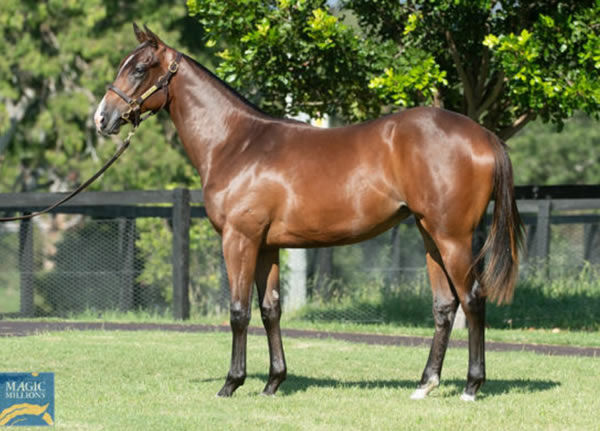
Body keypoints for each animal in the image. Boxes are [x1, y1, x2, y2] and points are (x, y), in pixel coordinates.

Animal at [94, 23, 520, 402]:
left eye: (138, 69)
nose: (102, 118)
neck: (238, 143)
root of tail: (484, 135)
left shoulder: (239, 239)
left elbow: (238, 312)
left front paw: (232, 383)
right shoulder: (266, 246)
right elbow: (270, 310)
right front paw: (272, 383)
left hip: (453, 238)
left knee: (473, 299)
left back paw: (471, 386)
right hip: (430, 234)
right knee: (445, 306)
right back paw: (425, 384)